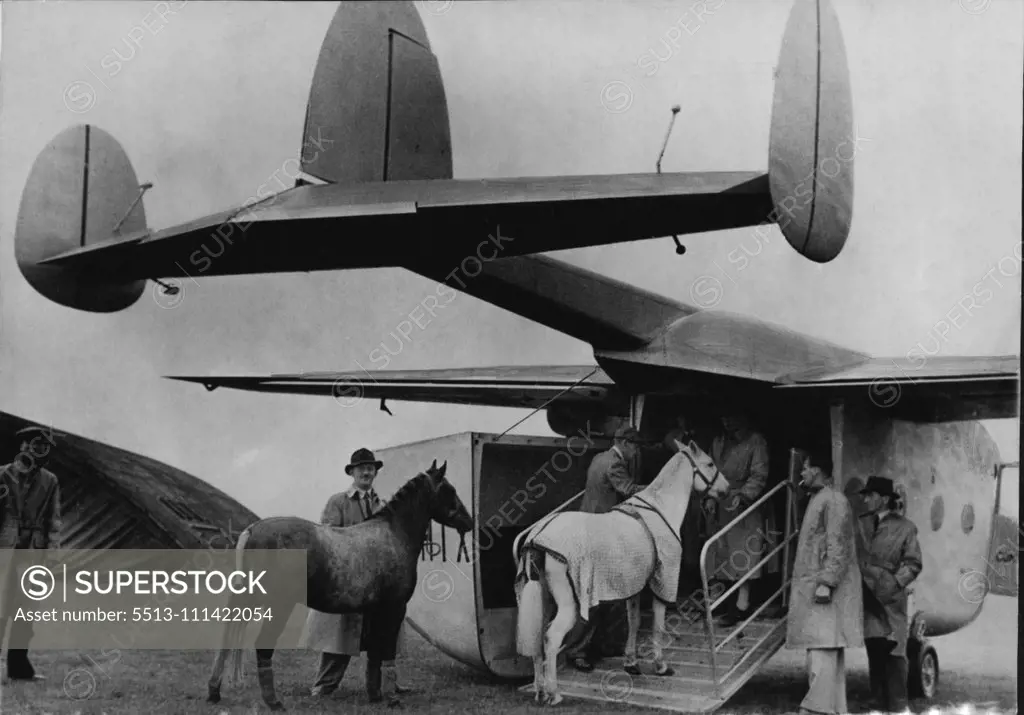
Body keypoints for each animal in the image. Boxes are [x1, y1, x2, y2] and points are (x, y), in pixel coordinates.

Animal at [204, 458, 475, 708]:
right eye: (449, 490)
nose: (469, 522)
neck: (394, 534)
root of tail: (252, 530)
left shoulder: (376, 610)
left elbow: (375, 652)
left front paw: (375, 695)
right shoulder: (394, 608)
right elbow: (387, 650)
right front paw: (392, 699)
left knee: (226, 641)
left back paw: (214, 691)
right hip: (277, 606)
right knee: (262, 646)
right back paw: (273, 702)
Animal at [512, 436, 729, 704]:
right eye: (709, 463)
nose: (726, 489)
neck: (660, 508)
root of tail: (537, 537)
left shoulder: (635, 586)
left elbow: (634, 622)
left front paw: (631, 663)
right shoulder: (663, 581)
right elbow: (658, 625)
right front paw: (661, 666)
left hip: (543, 598)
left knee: (537, 637)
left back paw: (540, 690)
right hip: (569, 604)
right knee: (551, 638)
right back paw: (554, 693)